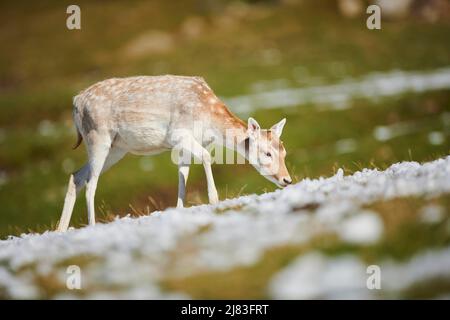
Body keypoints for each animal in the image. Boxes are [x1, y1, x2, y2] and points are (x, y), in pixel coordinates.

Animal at [57, 75, 292, 230]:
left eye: (284, 151)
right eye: (267, 153)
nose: (287, 179)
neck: (209, 121)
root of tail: (76, 102)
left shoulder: (183, 146)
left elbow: (183, 174)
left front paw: (179, 209)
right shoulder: (179, 134)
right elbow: (206, 157)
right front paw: (214, 200)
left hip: (117, 149)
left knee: (76, 176)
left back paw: (61, 228)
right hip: (98, 137)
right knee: (91, 182)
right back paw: (92, 225)